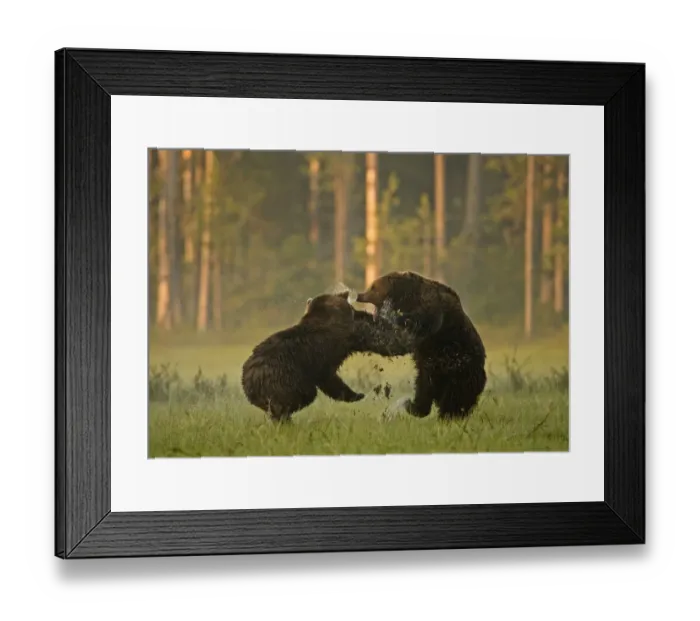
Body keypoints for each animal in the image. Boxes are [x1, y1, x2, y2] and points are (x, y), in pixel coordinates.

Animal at [241, 291, 414, 422]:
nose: (366, 313)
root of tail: (251, 378)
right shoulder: (331, 350)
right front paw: (357, 395)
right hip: (286, 379)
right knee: (298, 398)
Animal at [356, 271, 487, 420]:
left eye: (373, 287)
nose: (359, 295)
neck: (408, 298)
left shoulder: (433, 310)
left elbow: (425, 321)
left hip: (461, 371)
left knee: (455, 397)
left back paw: (448, 415)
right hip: (430, 372)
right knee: (424, 391)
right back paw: (413, 406)